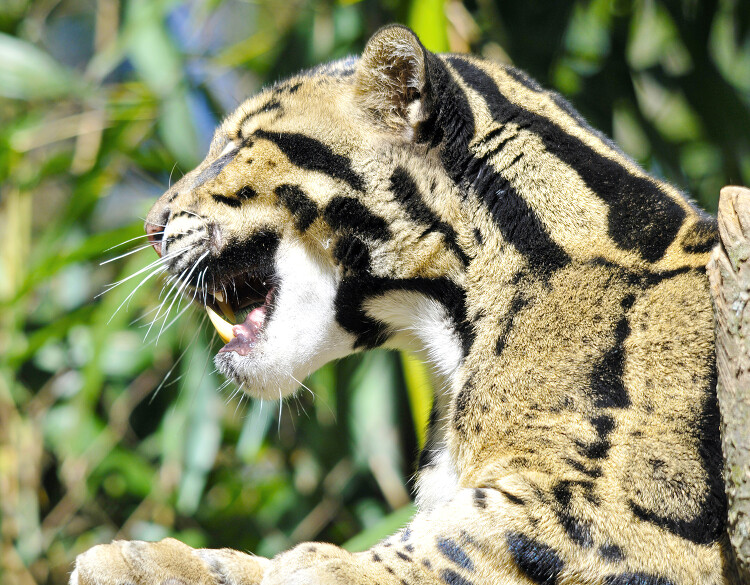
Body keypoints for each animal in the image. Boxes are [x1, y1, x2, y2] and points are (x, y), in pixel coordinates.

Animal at [72, 25, 740, 584]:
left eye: (238, 146)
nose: (150, 226)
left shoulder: (631, 515)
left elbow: (462, 539)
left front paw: (325, 565)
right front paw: (170, 560)